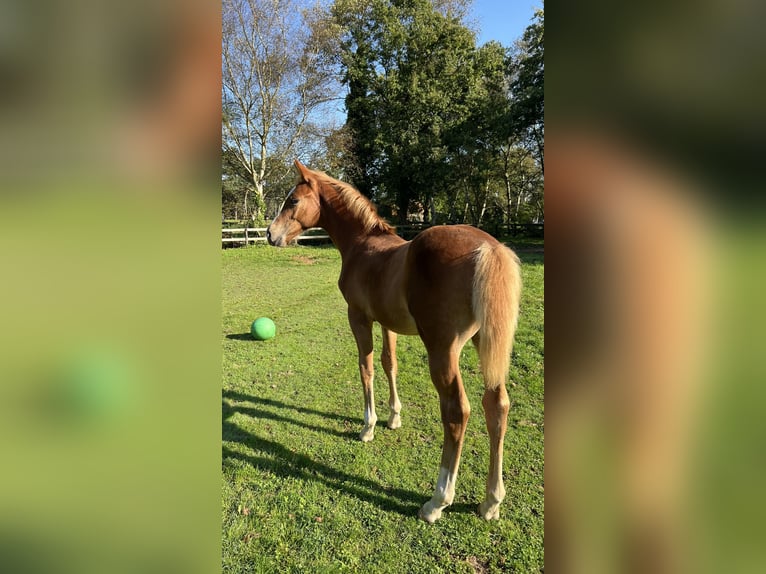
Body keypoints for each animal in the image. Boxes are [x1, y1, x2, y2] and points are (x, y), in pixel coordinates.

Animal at [268, 160, 524, 524]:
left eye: (292, 200)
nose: (270, 234)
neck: (361, 244)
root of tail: (489, 248)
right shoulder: (386, 322)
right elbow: (390, 364)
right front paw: (394, 417)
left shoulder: (359, 318)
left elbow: (366, 367)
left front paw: (368, 426)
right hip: (484, 344)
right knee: (497, 405)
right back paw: (491, 502)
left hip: (443, 351)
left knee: (457, 411)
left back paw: (437, 501)